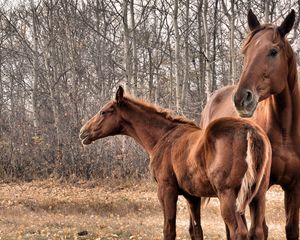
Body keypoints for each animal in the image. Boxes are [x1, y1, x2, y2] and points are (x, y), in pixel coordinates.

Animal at [79, 86, 272, 240]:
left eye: (104, 111)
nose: (83, 132)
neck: (163, 137)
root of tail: (250, 131)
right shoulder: (192, 196)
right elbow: (196, 230)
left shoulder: (166, 190)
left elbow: (169, 230)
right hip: (257, 196)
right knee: (257, 231)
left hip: (228, 196)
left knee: (239, 231)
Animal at [199, 9, 300, 240]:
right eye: (245, 52)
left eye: (273, 51)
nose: (241, 98)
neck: (286, 132)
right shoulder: (260, 188)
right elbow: (261, 230)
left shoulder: (295, 187)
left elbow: (291, 229)